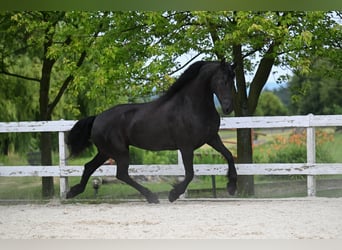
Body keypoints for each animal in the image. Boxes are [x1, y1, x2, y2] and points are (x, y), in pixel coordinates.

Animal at [67, 60, 238, 203]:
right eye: (222, 80)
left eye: (233, 81)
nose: (228, 108)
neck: (192, 106)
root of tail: (97, 118)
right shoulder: (186, 147)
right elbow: (190, 173)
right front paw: (173, 194)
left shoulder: (212, 138)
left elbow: (229, 155)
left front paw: (231, 186)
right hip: (119, 151)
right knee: (121, 174)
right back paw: (151, 196)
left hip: (106, 151)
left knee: (90, 167)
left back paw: (73, 192)